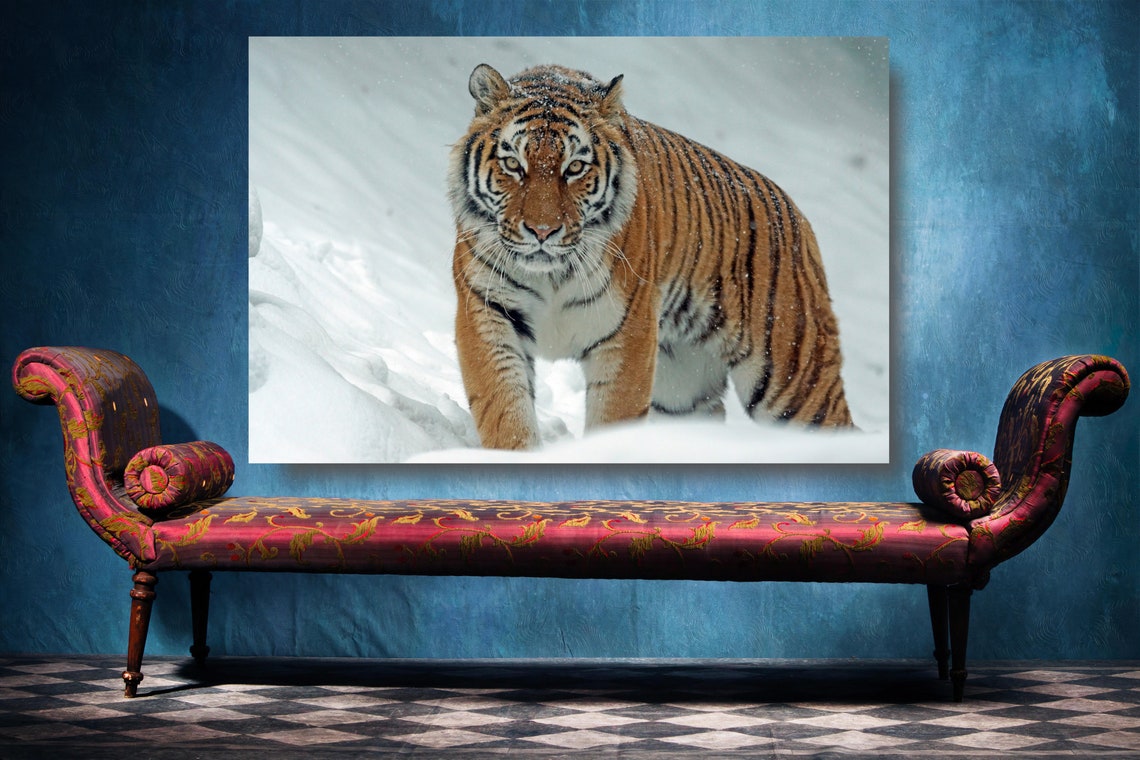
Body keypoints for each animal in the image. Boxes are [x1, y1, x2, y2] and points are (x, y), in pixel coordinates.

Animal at [449, 63, 853, 450]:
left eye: (575, 168)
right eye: (513, 165)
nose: (543, 231)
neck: (551, 275)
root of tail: (798, 217)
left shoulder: (628, 333)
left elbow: (613, 418)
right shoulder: (487, 312)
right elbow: (505, 409)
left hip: (795, 379)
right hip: (683, 389)